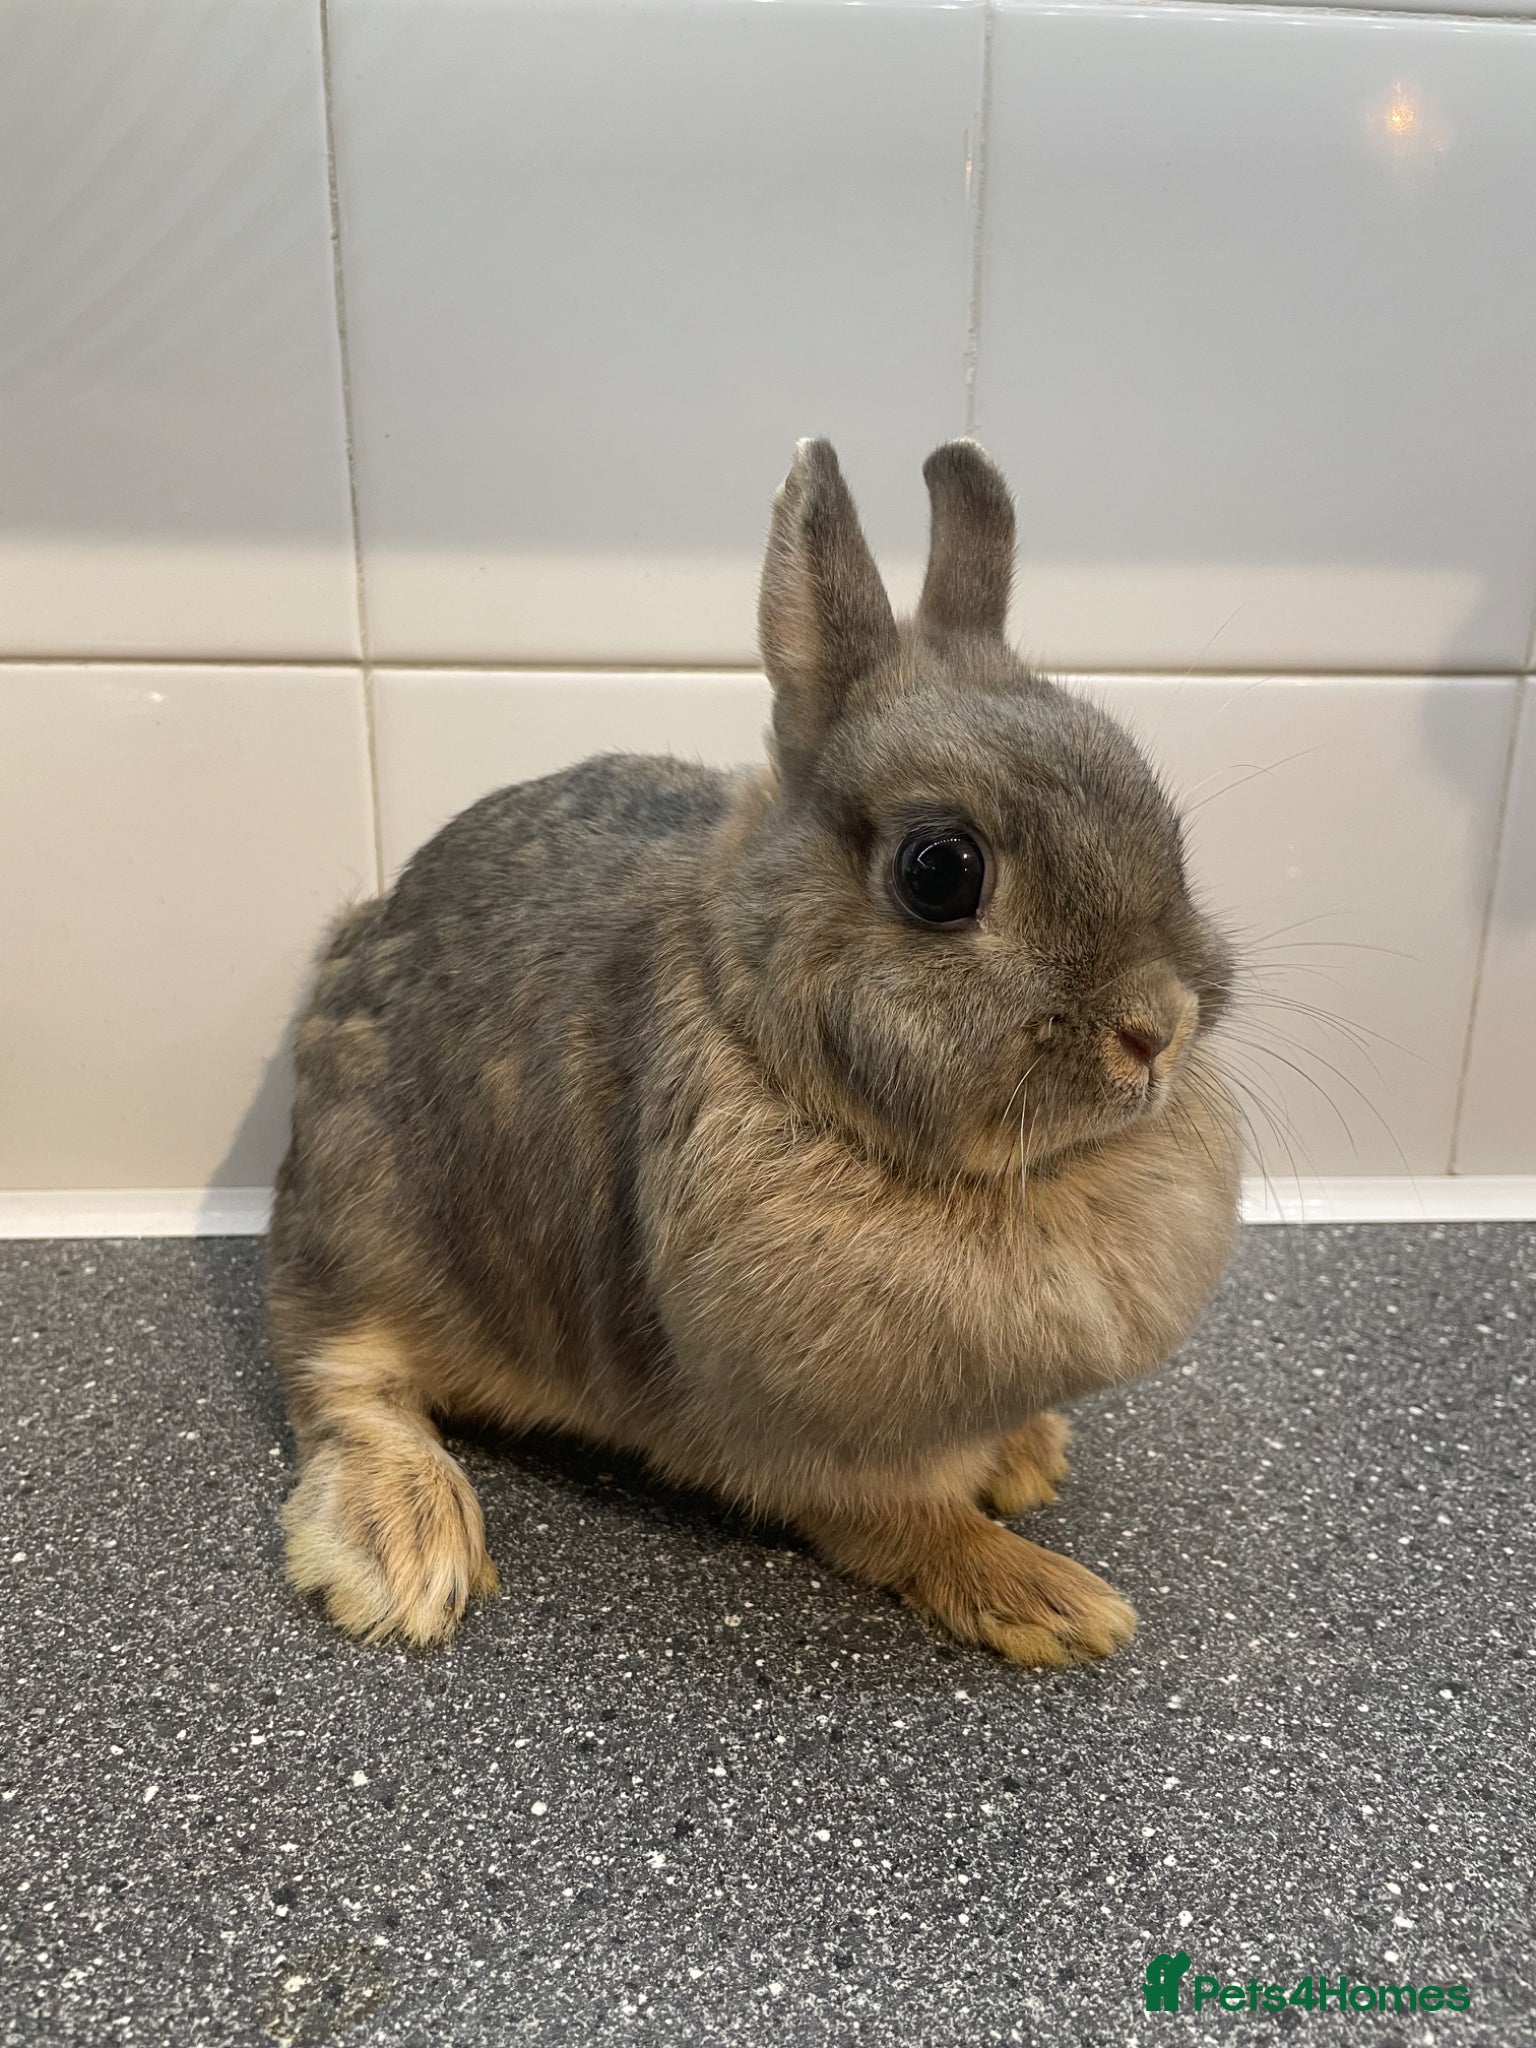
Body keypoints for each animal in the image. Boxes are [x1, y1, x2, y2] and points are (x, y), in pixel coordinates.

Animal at [268, 438, 1241, 1669]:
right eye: (940, 870)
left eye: (1157, 810)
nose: (1157, 1025)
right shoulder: (817, 1441)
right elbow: (911, 1524)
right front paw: (1054, 1601)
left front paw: (1030, 1457)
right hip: (371, 1225)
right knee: (338, 1376)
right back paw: (403, 1553)